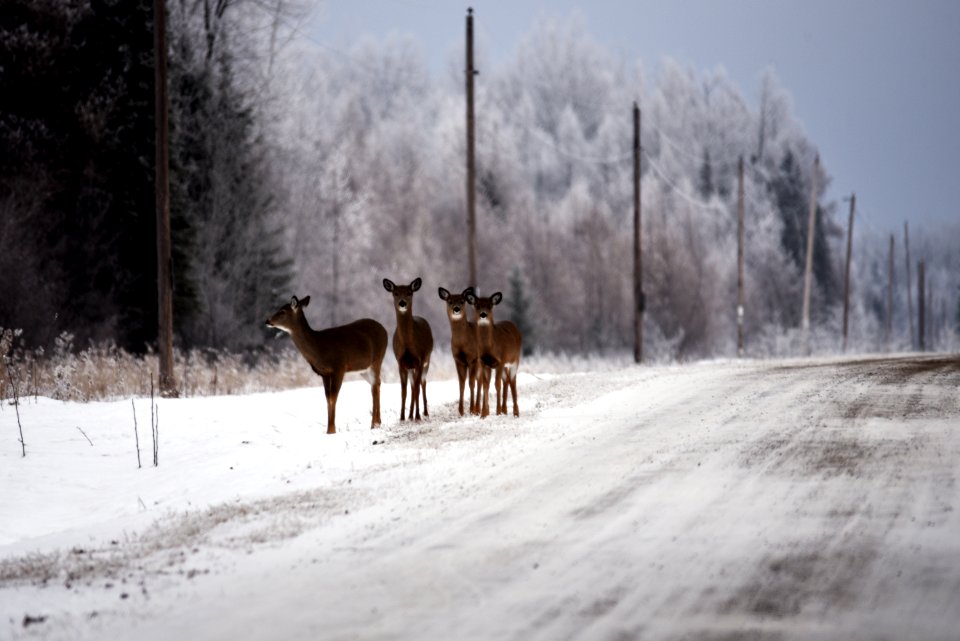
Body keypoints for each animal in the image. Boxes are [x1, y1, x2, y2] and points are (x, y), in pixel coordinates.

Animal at [264, 296, 388, 436]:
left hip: (377, 360)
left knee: (376, 385)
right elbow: (327, 399)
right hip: (363, 369)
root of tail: (384, 329)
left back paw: (375, 423)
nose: (267, 321)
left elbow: (333, 398)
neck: (319, 348)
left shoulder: (339, 367)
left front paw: (332, 430)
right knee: (375, 385)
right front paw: (329, 430)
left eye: (282, 311)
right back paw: (376, 423)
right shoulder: (324, 373)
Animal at [382, 276, 436, 420]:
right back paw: (410, 415)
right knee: (413, 387)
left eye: (409, 293)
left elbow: (417, 388)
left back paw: (424, 413)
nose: (402, 303)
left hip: (427, 361)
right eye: (395, 293)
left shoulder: (420, 359)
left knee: (422, 383)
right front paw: (402, 417)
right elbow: (404, 391)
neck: (408, 345)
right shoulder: (401, 362)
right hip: (411, 367)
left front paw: (418, 416)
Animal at [436, 284, 478, 416]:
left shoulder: (473, 358)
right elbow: (461, 383)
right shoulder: (458, 360)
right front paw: (461, 411)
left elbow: (471, 383)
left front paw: (472, 409)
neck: (462, 344)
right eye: (449, 301)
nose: (456, 309)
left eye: (462, 301)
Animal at [464, 288, 520, 416]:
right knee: (506, 380)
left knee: (512, 381)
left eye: (490, 305)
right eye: (477, 305)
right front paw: (484, 413)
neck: (489, 347)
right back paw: (505, 410)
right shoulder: (484, 363)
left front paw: (497, 412)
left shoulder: (500, 361)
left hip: (515, 360)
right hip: (505, 366)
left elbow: (497, 384)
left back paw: (515, 412)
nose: (483, 314)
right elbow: (486, 385)